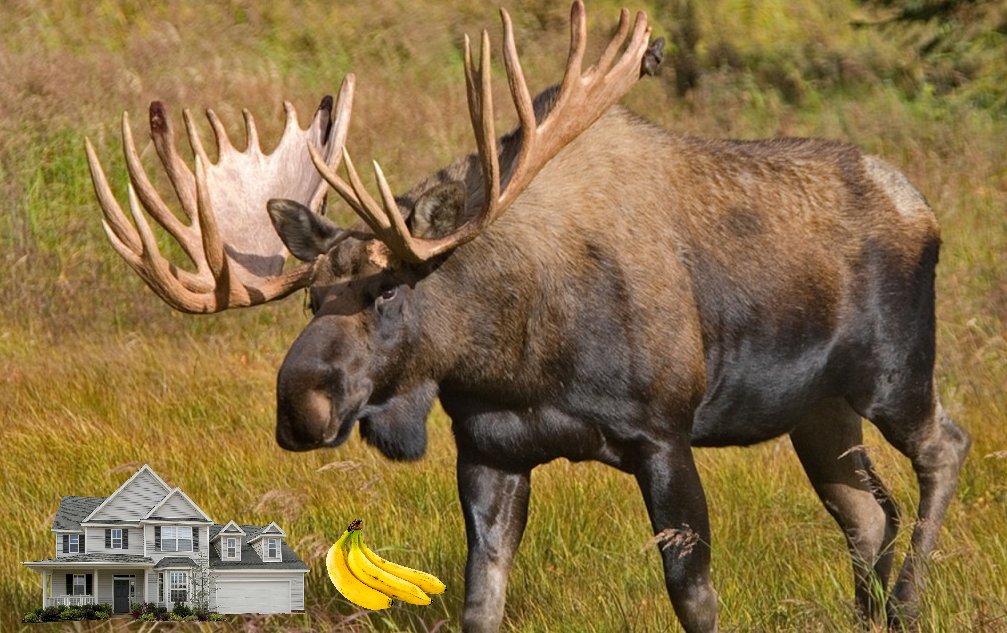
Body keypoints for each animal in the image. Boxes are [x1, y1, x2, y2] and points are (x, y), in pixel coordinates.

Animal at [85, 2, 970, 631]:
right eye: (309, 298)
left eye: (388, 290)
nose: (299, 404)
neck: (515, 353)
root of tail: (923, 208)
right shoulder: (489, 449)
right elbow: (481, 600)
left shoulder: (662, 432)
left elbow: (695, 598)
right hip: (817, 411)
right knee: (865, 510)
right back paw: (870, 615)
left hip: (893, 374)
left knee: (943, 448)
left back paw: (907, 604)